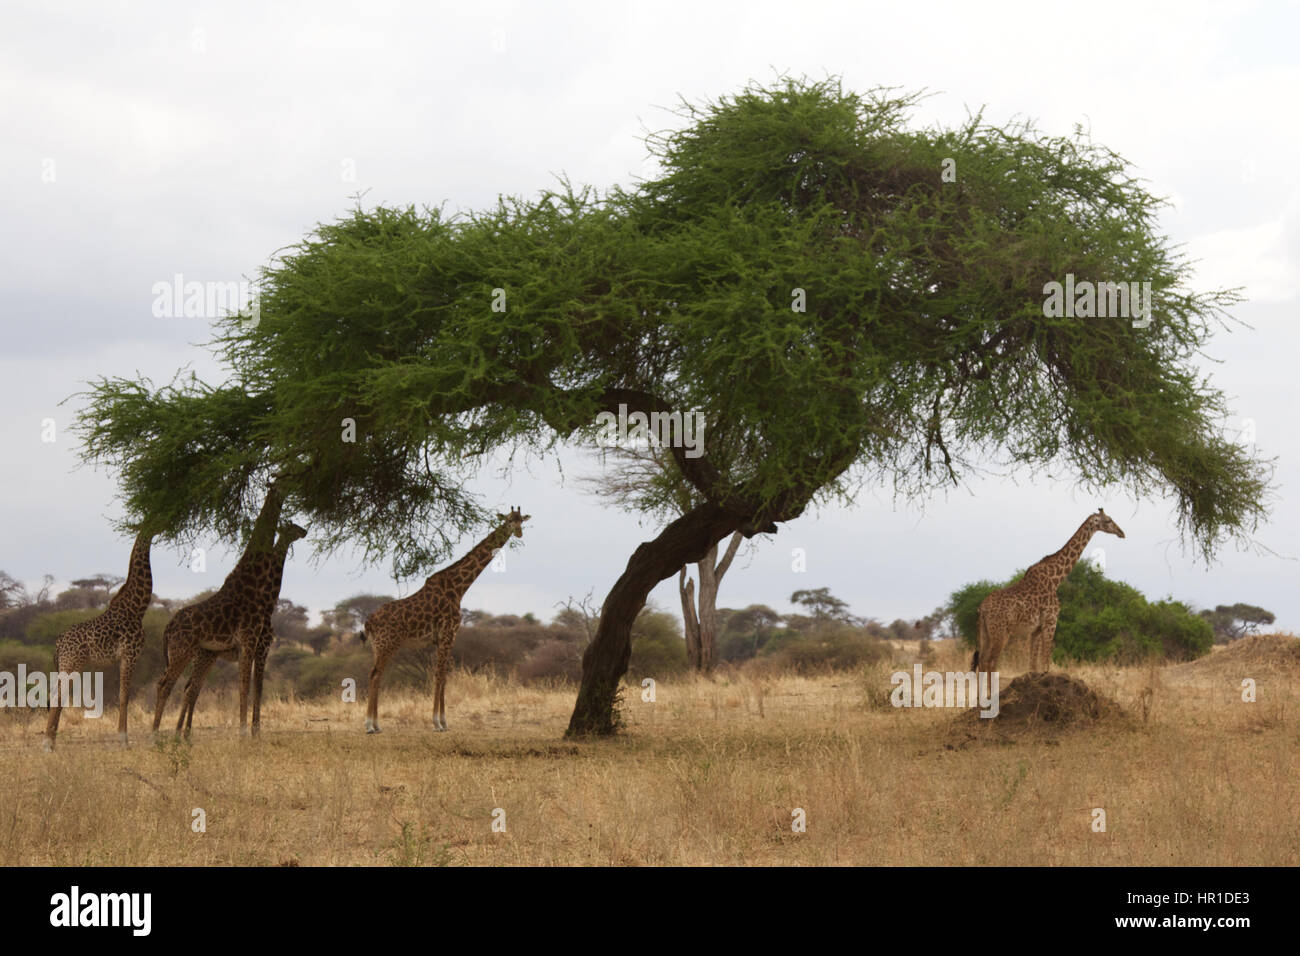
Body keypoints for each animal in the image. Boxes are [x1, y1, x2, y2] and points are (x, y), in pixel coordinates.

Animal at [42, 529, 155, 751]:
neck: (137, 608)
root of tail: (58, 643)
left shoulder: (124, 657)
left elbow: (122, 695)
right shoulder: (130, 654)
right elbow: (124, 696)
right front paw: (124, 741)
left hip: (68, 665)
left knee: (58, 697)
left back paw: (52, 741)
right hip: (71, 663)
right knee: (57, 696)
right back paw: (47, 744)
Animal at [152, 481, 306, 738]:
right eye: (293, 526)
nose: (305, 531)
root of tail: (166, 629)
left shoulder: (254, 647)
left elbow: (254, 688)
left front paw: (253, 733)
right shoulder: (253, 643)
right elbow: (246, 687)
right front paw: (246, 734)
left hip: (198, 654)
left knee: (188, 687)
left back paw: (180, 735)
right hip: (184, 651)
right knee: (167, 684)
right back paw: (158, 735)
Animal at [363, 508, 529, 734]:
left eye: (522, 520)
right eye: (510, 520)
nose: (519, 533)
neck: (458, 588)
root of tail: (369, 621)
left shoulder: (444, 638)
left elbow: (444, 676)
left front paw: (444, 721)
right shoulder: (448, 634)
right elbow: (440, 675)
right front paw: (437, 722)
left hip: (378, 646)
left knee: (377, 675)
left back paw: (377, 724)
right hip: (386, 644)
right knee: (374, 674)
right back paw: (369, 725)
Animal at [973, 508, 1126, 677]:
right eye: (1108, 520)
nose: (1121, 532)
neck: (1055, 579)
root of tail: (982, 609)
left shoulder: (1036, 629)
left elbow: (1033, 665)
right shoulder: (1051, 622)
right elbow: (1045, 662)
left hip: (985, 632)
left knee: (982, 660)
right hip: (1001, 633)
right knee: (991, 662)